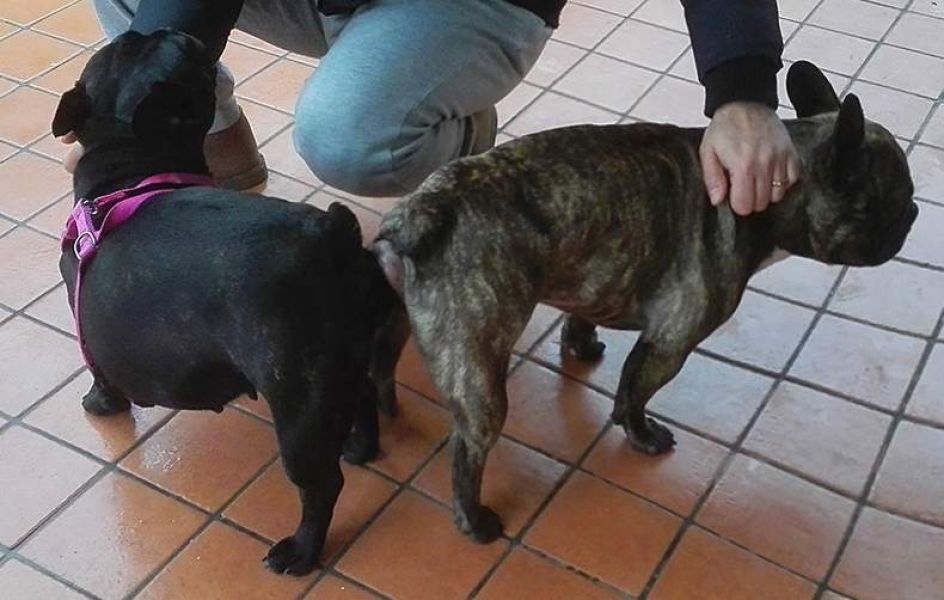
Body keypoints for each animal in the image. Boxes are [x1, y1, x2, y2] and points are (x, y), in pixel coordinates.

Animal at [52, 30, 403, 575]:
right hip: (346, 360)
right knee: (364, 394)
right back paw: (359, 448)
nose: (178, 32)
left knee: (320, 486)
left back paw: (300, 550)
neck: (133, 164)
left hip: (297, 402)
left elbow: (99, 371)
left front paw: (100, 405)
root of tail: (330, 234)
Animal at [372, 61, 918, 542]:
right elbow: (634, 393)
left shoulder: (594, 275)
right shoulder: (669, 343)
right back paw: (475, 520)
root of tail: (426, 210)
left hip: (399, 323)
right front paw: (643, 436)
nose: (913, 214)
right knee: (467, 448)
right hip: (478, 370)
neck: (770, 200)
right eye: (889, 202)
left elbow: (581, 317)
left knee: (382, 368)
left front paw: (582, 347)